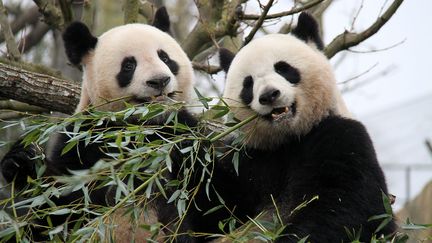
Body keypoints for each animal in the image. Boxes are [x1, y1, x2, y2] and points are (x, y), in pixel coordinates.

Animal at [0, 6, 198, 242]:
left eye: (165, 58)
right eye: (129, 65)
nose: (159, 81)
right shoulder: (83, 142)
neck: (141, 127)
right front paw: (20, 161)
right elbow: (59, 204)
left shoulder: (183, 134)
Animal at [174, 12, 396, 241]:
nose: (269, 95)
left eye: (283, 68)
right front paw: (173, 125)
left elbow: (350, 206)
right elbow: (214, 206)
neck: (288, 138)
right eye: (248, 84)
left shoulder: (341, 136)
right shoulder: (251, 158)